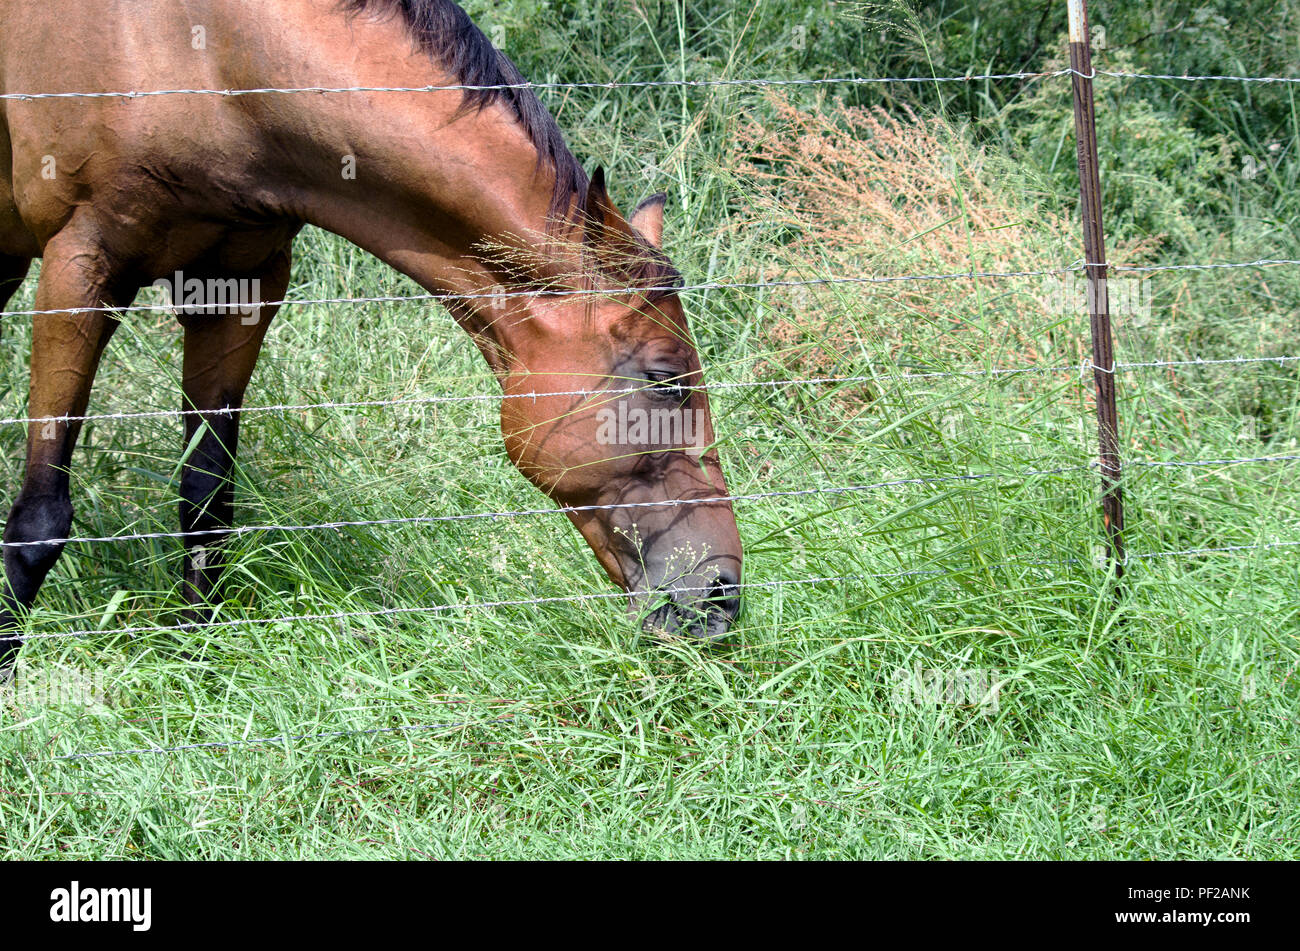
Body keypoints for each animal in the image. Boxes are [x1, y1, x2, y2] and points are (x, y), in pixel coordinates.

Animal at [0, 0, 743, 668]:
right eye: (666, 380)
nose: (723, 593)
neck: (202, 54)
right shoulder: (80, 268)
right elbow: (39, 520)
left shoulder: (241, 284)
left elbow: (206, 496)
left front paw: (193, 667)